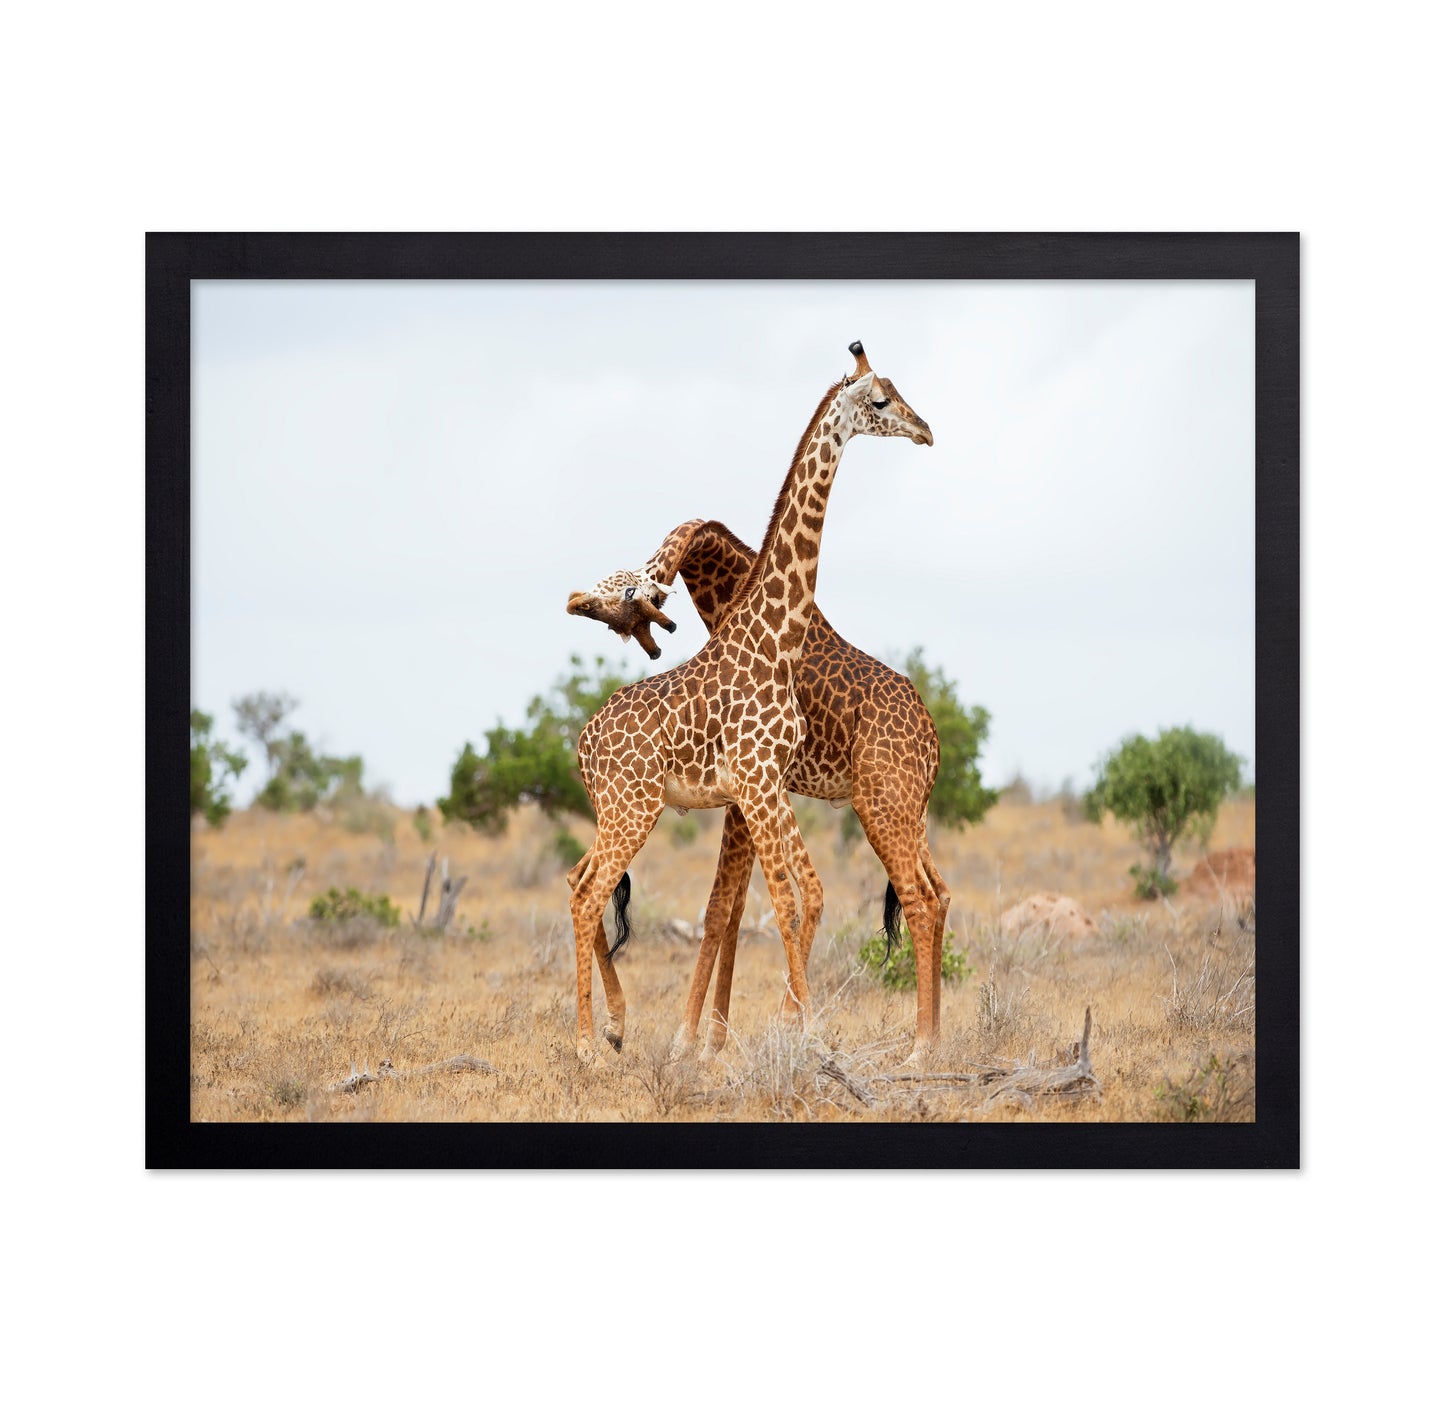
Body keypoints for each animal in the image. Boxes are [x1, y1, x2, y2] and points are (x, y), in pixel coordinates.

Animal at [565, 343, 932, 1061]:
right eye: (880, 400)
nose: (926, 430)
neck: (773, 638)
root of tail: (583, 742)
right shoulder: (757, 785)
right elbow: (780, 903)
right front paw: (793, 1034)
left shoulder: (765, 786)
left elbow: (795, 896)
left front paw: (773, 1032)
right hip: (634, 809)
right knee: (588, 892)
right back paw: (591, 1041)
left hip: (629, 810)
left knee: (579, 882)